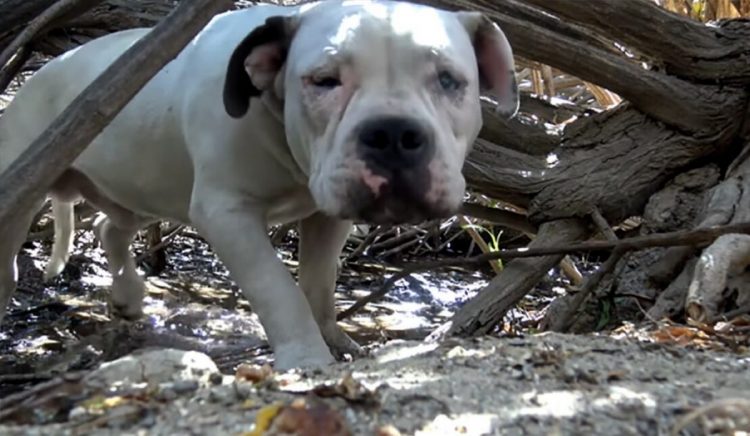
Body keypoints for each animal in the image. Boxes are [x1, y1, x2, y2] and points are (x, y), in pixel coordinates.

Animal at [0, 0, 516, 370]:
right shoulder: (227, 213)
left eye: (449, 80)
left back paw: (127, 296)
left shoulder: (328, 213)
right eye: (323, 81)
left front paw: (333, 340)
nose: (392, 133)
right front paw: (307, 357)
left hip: (144, 182)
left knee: (111, 227)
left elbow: (317, 285)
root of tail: (44, 69)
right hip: (26, 182)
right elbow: (278, 289)